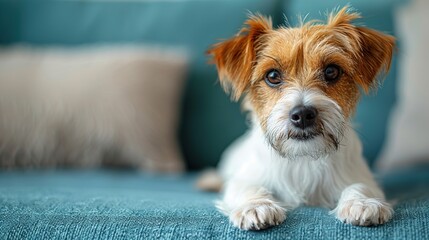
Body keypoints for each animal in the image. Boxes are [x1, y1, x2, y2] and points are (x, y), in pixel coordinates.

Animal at [202, 6, 392, 230]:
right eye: (272, 76)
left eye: (331, 71)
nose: (302, 115)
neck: (303, 159)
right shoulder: (245, 178)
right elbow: (248, 187)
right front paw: (256, 206)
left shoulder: (360, 176)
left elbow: (360, 186)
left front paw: (362, 203)